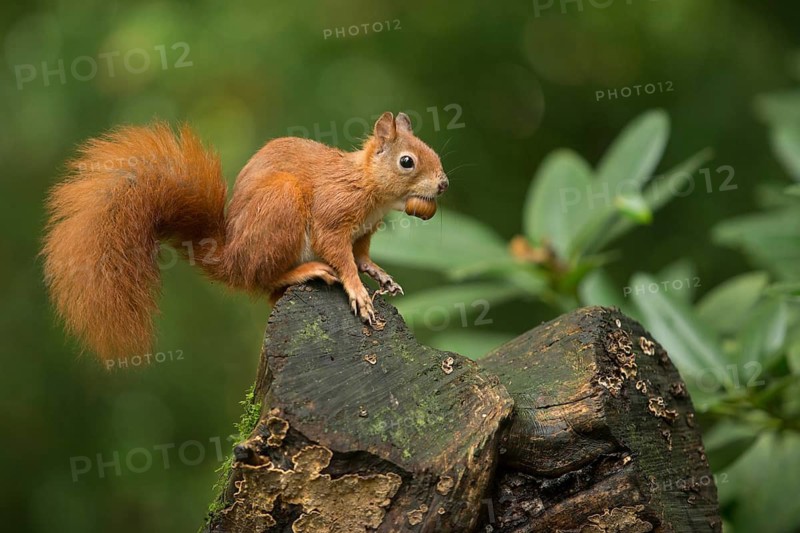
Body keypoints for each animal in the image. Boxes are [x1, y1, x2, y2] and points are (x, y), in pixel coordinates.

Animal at [42, 112, 448, 361]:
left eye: (433, 150)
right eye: (407, 161)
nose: (444, 184)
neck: (368, 187)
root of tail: (230, 259)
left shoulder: (362, 234)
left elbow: (362, 256)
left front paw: (381, 276)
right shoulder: (332, 217)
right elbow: (340, 255)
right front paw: (360, 294)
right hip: (281, 206)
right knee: (264, 279)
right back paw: (307, 271)